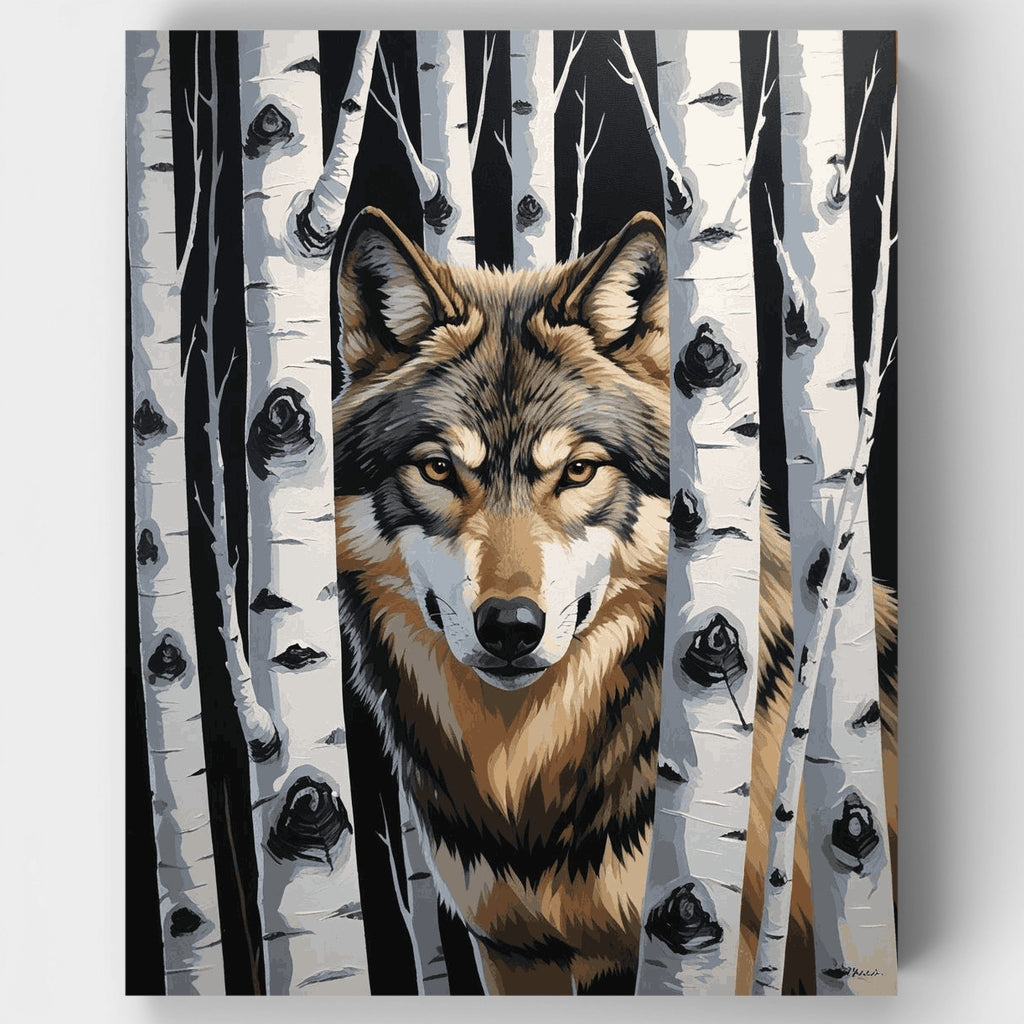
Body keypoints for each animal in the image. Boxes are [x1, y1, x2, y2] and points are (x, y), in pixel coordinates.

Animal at [332, 207, 897, 995]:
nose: (511, 627)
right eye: (439, 469)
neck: (525, 789)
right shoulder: (514, 953)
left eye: (578, 471)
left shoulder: (715, 944)